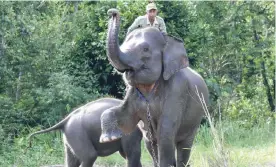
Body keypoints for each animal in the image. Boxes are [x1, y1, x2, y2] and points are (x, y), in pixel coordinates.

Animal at [100, 9, 208, 167]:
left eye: (145, 49)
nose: (112, 12)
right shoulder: (132, 93)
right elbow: (125, 119)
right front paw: (109, 138)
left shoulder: (178, 90)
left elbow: (166, 130)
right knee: (149, 141)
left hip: (195, 120)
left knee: (183, 145)